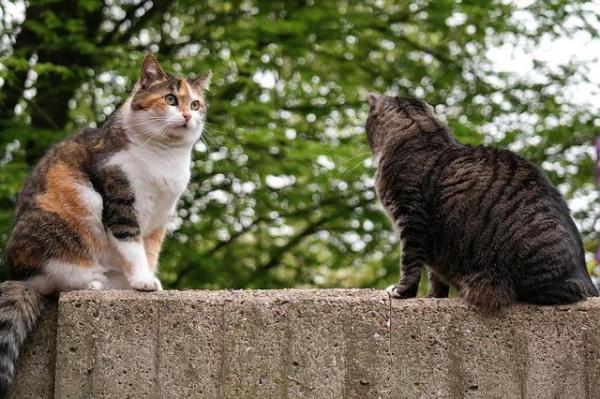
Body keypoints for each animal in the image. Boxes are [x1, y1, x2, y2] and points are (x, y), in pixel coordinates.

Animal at [0, 55, 211, 396]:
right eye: (170, 99)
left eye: (195, 103)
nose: (187, 116)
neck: (165, 157)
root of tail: (16, 274)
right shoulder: (120, 201)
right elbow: (131, 245)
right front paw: (143, 281)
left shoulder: (160, 217)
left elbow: (150, 251)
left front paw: (146, 279)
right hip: (68, 214)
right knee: (51, 280)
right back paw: (93, 283)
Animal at [368, 93, 596, 312]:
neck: (420, 132)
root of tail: (587, 280)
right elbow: (436, 278)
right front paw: (433, 297)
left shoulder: (410, 216)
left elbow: (410, 261)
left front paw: (403, 291)